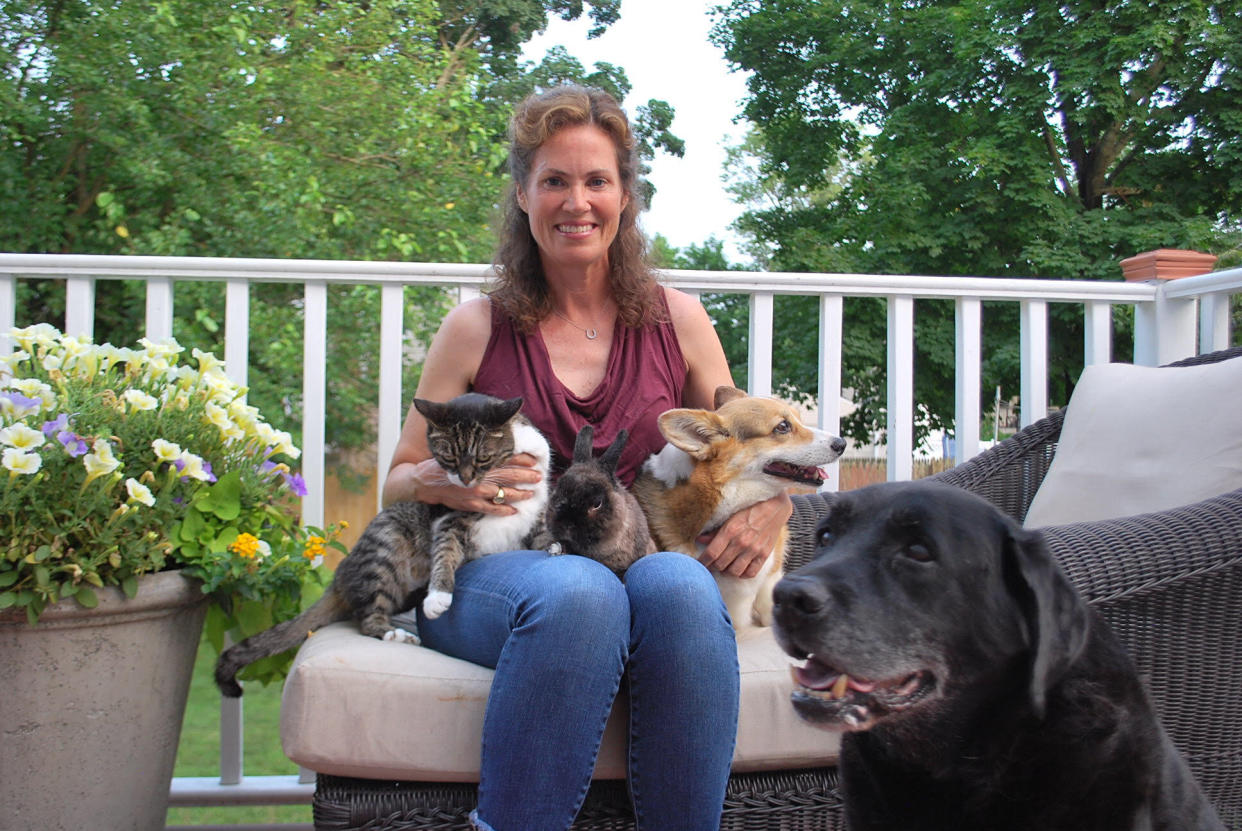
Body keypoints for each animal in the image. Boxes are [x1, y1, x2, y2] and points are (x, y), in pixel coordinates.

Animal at [213, 392, 548, 695]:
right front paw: (439, 596)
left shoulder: (538, 509)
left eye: (482, 458)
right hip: (386, 547)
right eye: (448, 457)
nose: (465, 480)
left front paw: (551, 547)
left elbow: (543, 534)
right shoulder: (450, 516)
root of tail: (339, 577)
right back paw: (394, 633)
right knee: (368, 616)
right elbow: (445, 551)